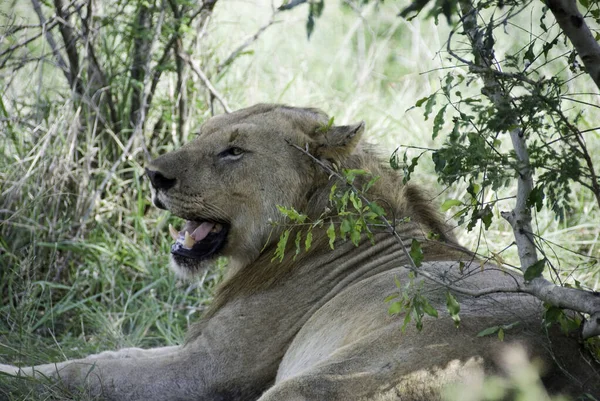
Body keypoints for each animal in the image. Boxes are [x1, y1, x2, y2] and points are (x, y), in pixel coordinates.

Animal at [1, 104, 600, 400]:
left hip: (314, 384)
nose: (153, 175)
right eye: (205, 133)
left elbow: (88, 372)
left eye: (233, 151)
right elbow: (106, 356)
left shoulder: (208, 372)